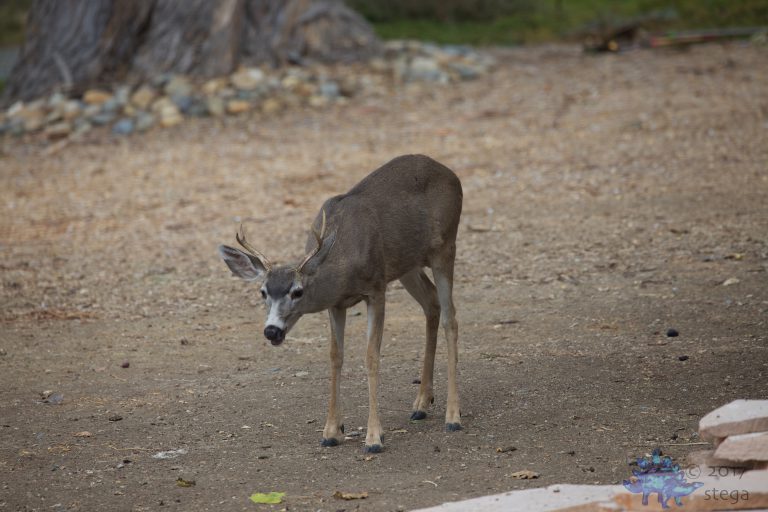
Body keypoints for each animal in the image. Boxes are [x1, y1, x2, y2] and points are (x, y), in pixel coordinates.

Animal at [217, 154, 462, 453]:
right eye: (263, 292)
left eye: (297, 291)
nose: (271, 330)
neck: (342, 263)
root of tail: (451, 174)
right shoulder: (336, 303)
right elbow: (336, 356)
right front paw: (332, 432)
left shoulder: (376, 288)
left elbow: (371, 356)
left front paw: (374, 437)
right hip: (407, 265)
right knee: (431, 304)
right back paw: (421, 403)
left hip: (445, 248)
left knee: (451, 317)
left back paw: (453, 416)